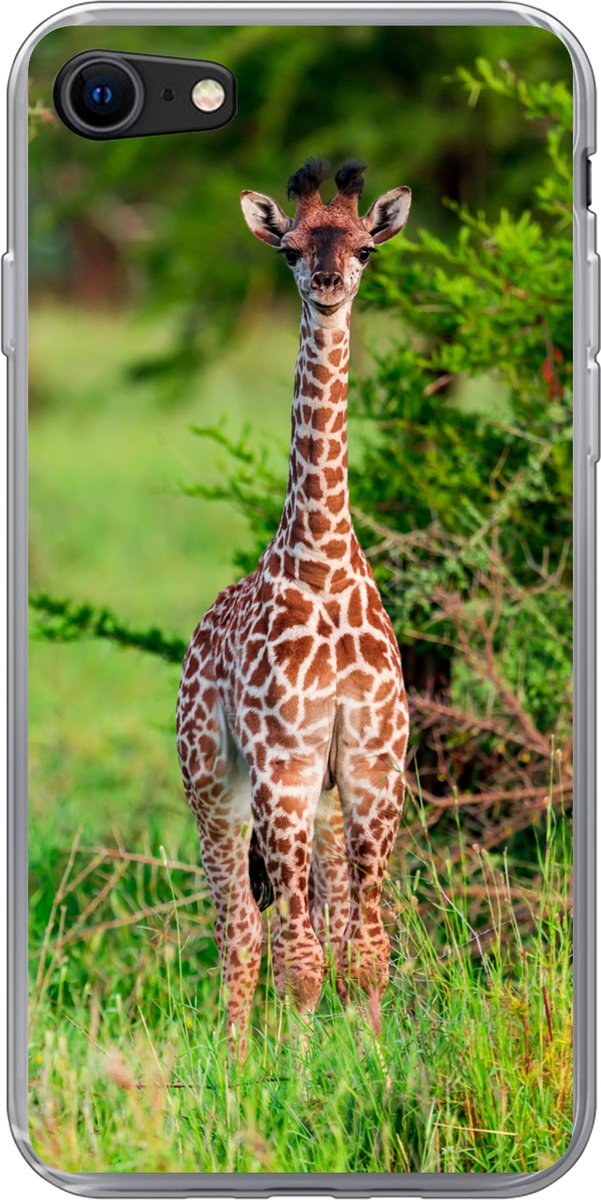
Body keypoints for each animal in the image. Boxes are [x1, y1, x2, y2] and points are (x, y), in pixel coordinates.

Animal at [177, 157, 411, 1058]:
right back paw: (239, 1064)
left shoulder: (373, 765)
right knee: (241, 929)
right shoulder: (283, 763)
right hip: (213, 780)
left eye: (365, 247)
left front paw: (374, 1066)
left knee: (327, 917)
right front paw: (303, 1075)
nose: (328, 283)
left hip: (324, 796)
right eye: (288, 249)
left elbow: (363, 950)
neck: (322, 560)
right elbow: (299, 960)